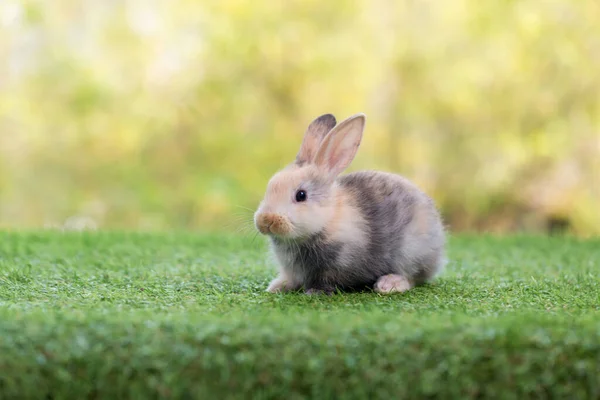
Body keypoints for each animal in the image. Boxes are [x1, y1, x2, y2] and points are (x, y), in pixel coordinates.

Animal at [253, 112, 446, 294]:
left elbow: (326, 280)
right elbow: (291, 278)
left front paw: (314, 292)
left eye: (301, 195)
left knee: (413, 277)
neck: (328, 219)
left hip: (410, 253)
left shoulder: (336, 265)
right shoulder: (291, 270)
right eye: (270, 186)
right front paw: (276, 287)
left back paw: (389, 284)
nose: (266, 220)